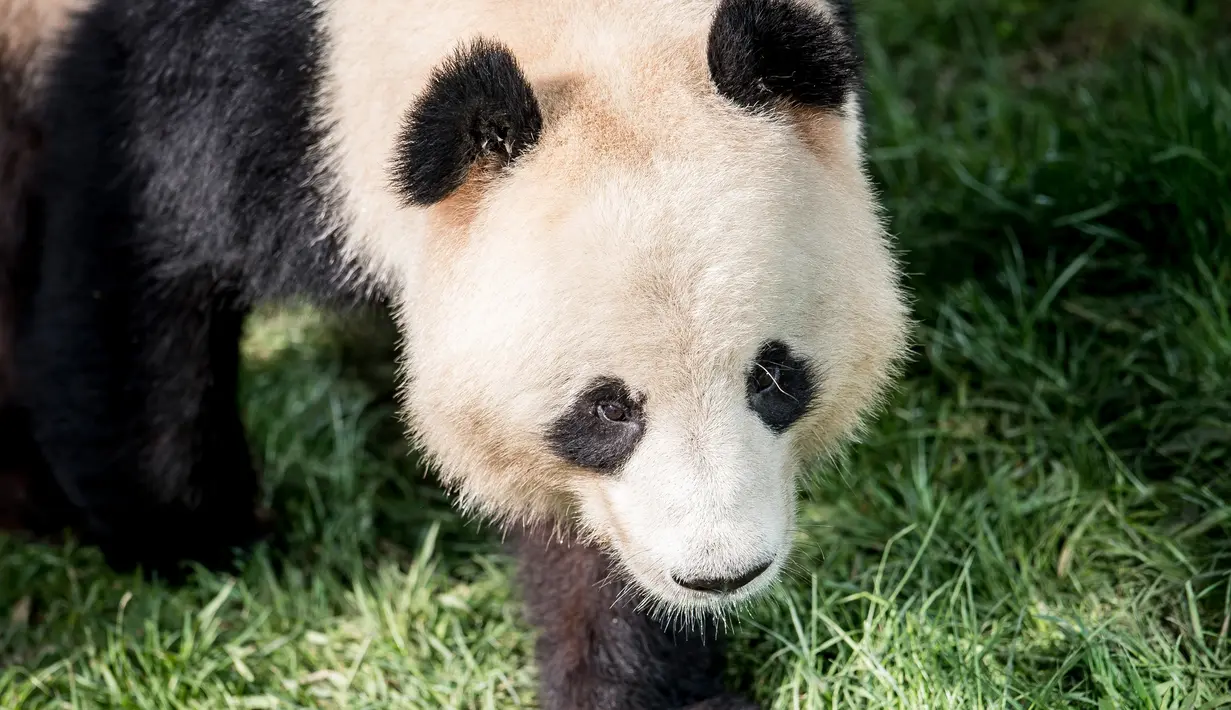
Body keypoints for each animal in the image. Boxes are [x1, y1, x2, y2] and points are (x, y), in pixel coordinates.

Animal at [9, 0, 911, 707]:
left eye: (774, 378)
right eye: (606, 409)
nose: (718, 574)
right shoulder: (206, 79)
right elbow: (133, 267)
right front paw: (198, 544)